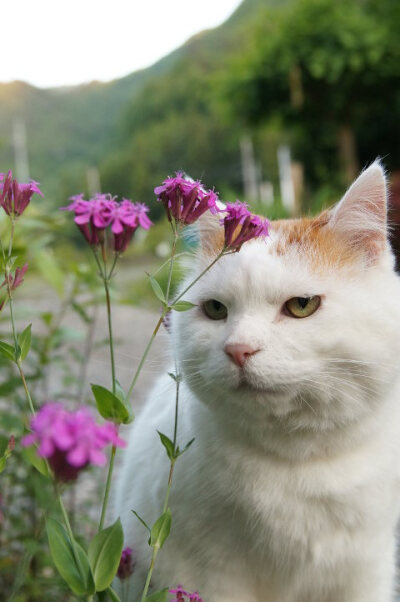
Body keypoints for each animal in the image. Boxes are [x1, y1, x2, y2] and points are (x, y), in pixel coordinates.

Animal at [113, 161, 400, 600]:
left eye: (302, 305)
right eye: (215, 309)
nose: (239, 349)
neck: (298, 461)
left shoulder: (367, 568)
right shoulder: (209, 574)